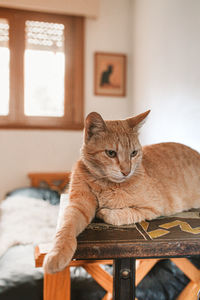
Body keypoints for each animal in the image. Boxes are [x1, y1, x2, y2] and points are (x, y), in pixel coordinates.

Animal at [43, 110, 200, 274]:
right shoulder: (78, 206)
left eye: (133, 153)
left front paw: (104, 212)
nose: (126, 171)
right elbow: (65, 228)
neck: (105, 184)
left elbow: (120, 215)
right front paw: (56, 254)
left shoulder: (153, 208)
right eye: (111, 153)